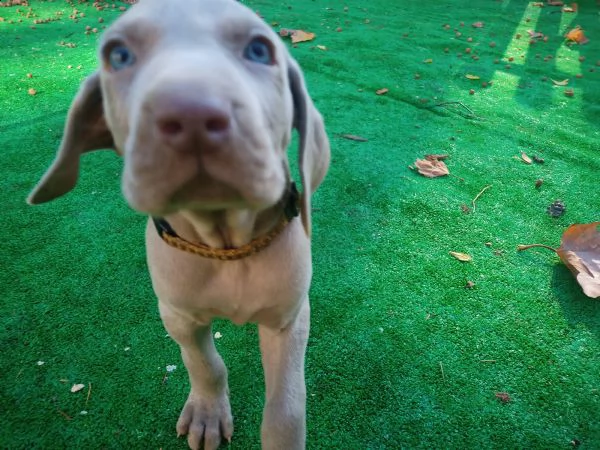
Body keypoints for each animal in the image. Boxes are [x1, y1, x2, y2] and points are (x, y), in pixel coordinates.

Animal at [27, 0, 328, 450]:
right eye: (119, 55)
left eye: (259, 50)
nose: (191, 114)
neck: (226, 246)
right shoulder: (177, 314)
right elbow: (204, 363)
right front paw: (207, 413)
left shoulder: (288, 319)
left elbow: (287, 407)